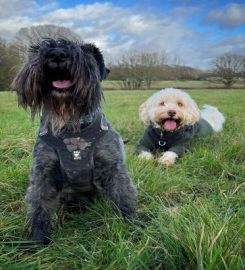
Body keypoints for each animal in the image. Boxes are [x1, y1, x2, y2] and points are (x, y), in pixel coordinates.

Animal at [11, 37, 137, 245]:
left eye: (85, 51)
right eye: (37, 49)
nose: (57, 53)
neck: (72, 127)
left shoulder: (113, 167)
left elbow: (124, 196)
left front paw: (135, 227)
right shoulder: (43, 172)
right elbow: (39, 205)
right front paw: (38, 238)